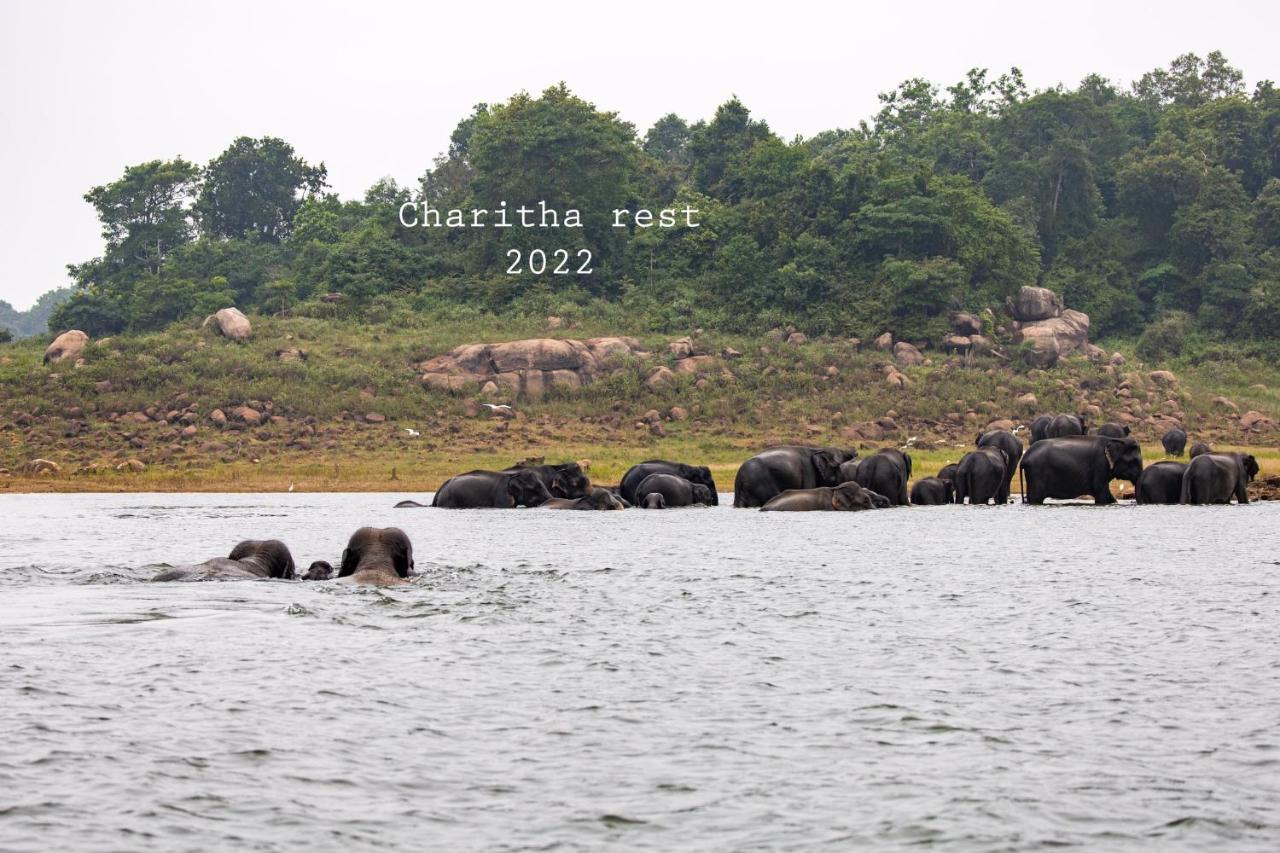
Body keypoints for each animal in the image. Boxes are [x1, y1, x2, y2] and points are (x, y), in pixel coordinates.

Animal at [732, 445, 860, 504]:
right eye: (837, 467)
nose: (855, 451)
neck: (816, 449)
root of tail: (740, 478)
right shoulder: (808, 471)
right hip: (762, 484)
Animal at [1013, 432, 1146, 504]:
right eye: (1134, 461)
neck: (1115, 440)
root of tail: (1025, 458)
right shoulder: (1100, 465)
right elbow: (1101, 491)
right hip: (1036, 473)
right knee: (1035, 498)